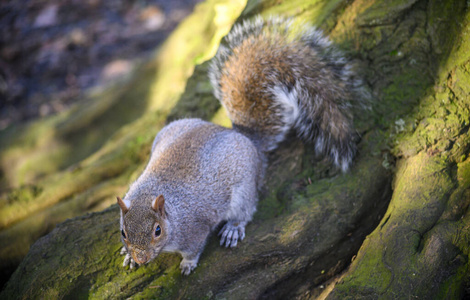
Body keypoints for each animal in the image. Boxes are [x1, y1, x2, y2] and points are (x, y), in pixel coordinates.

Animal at [115, 15, 370, 274]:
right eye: (123, 232)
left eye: (157, 230)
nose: (142, 259)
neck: (168, 210)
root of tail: (246, 138)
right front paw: (128, 255)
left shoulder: (194, 230)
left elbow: (193, 249)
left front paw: (187, 263)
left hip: (243, 189)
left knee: (247, 209)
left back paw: (233, 228)